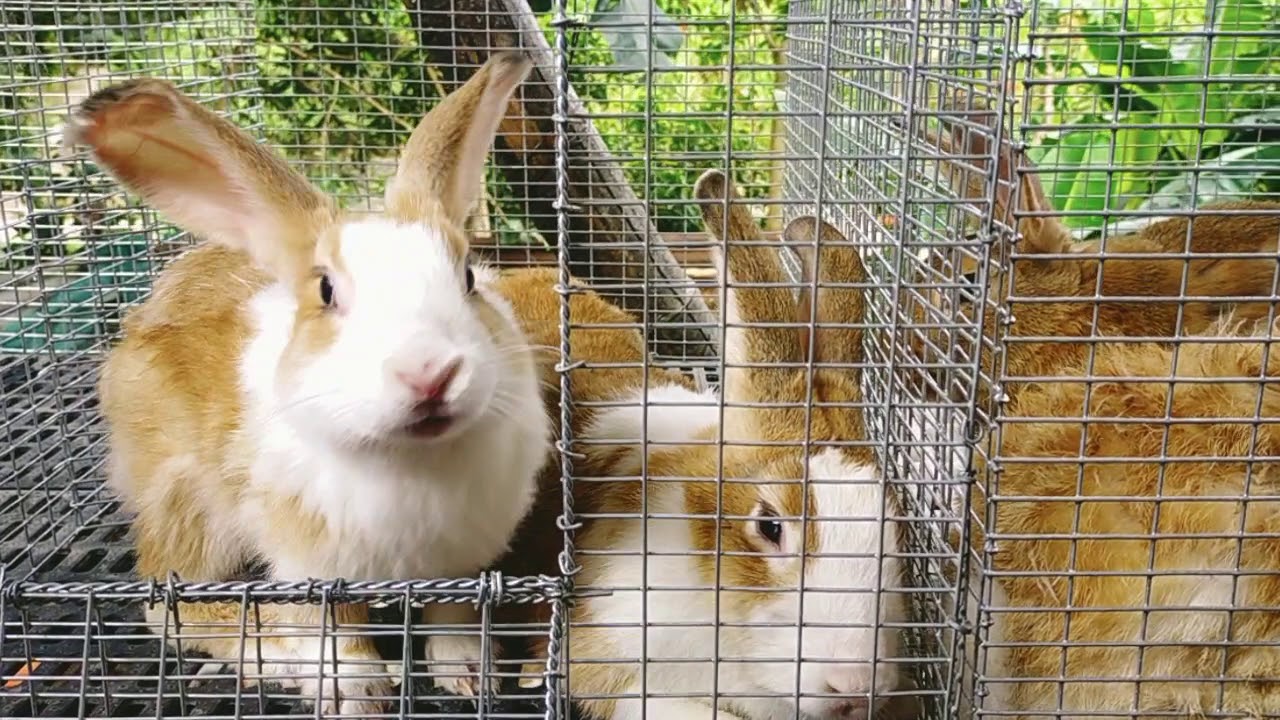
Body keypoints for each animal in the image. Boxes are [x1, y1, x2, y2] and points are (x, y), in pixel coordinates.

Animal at [64, 52, 550, 713]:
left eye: (469, 278)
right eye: (325, 291)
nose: (430, 374)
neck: (413, 463)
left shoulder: (459, 563)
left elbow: (451, 614)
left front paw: (470, 675)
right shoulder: (309, 566)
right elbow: (337, 632)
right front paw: (358, 694)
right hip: (185, 502)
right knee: (176, 607)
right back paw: (281, 657)